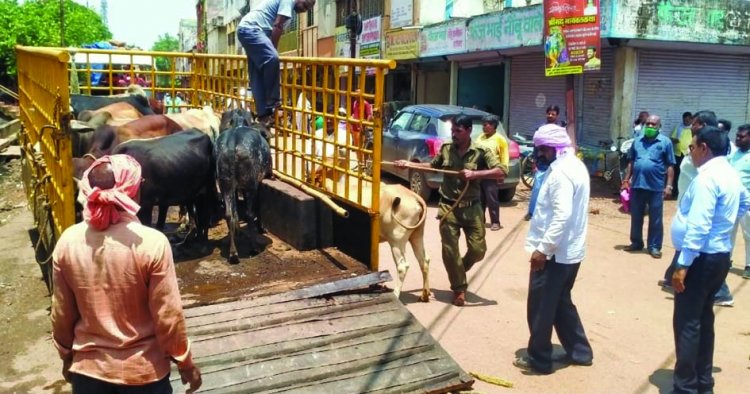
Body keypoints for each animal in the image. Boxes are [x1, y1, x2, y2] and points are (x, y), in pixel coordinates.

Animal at [217, 109, 274, 264]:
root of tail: (232, 147)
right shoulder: (257, 183)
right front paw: (261, 227)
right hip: (250, 185)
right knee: (249, 213)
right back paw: (253, 247)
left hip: (225, 184)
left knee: (229, 214)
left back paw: (233, 253)